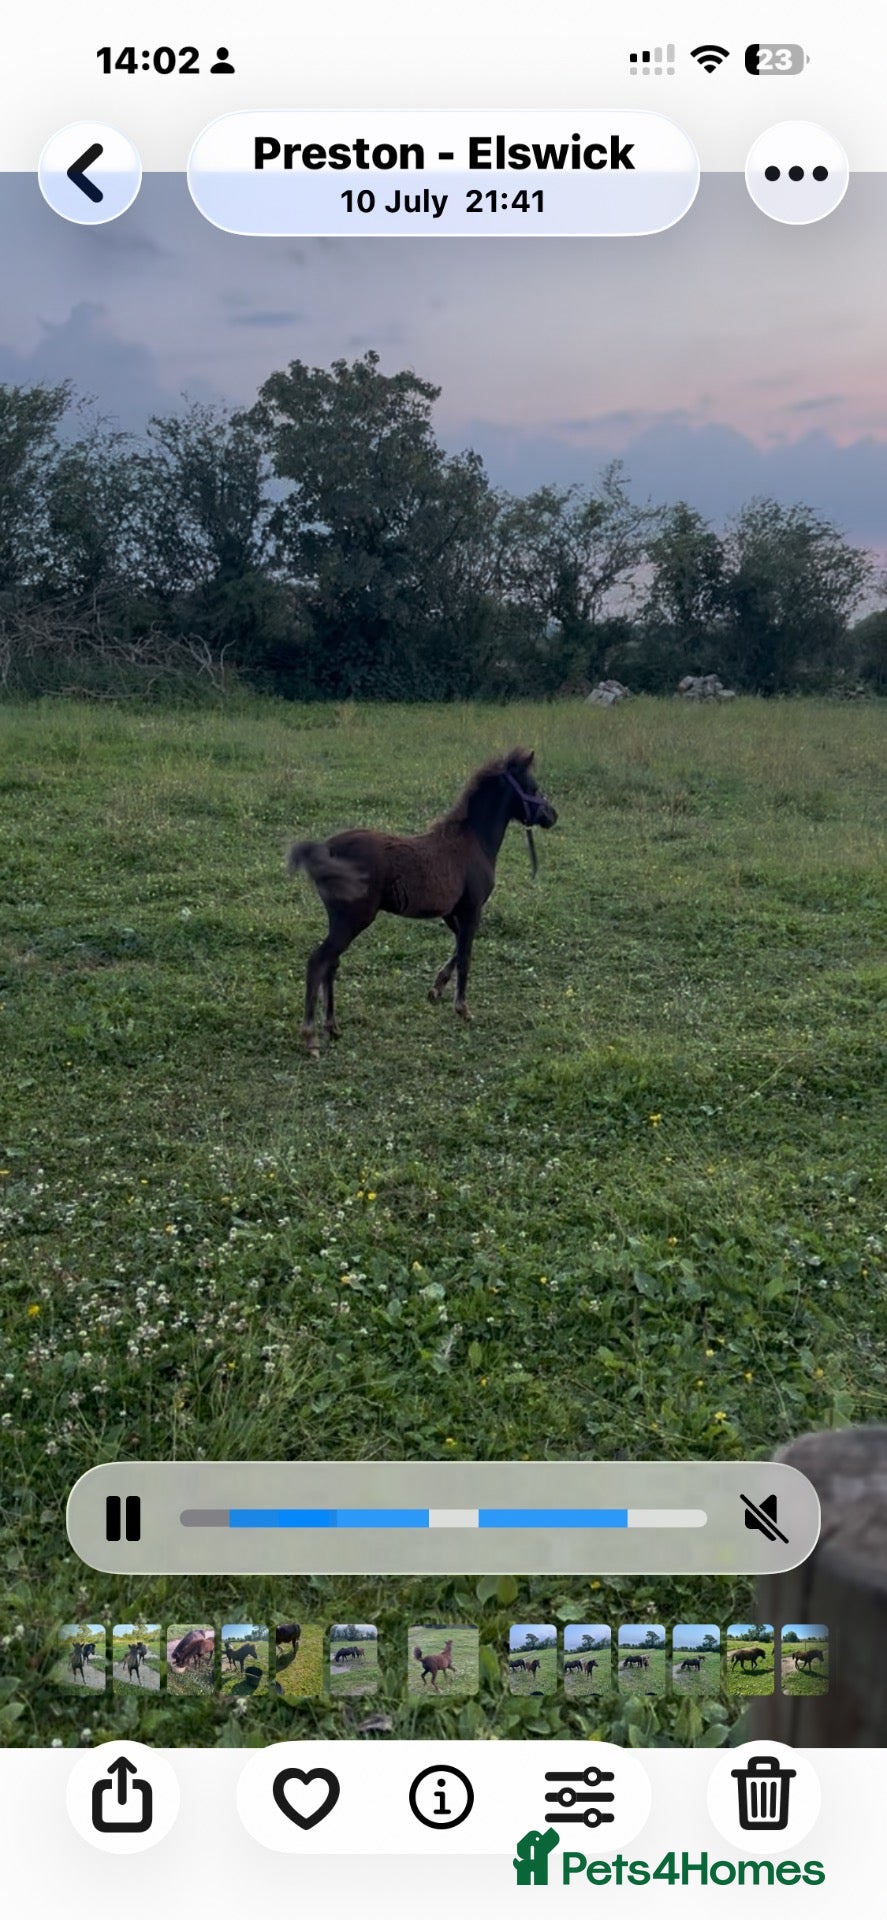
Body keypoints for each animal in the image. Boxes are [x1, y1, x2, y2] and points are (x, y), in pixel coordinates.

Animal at [288, 749, 557, 1055]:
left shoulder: (451, 912)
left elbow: (460, 947)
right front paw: (462, 1008)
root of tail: (327, 849)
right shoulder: (472, 908)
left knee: (331, 964)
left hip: (340, 921)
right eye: (532, 787)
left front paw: (436, 988)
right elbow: (465, 955)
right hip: (352, 920)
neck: (473, 841)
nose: (552, 815)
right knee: (318, 961)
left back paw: (332, 1027)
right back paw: (311, 1037)